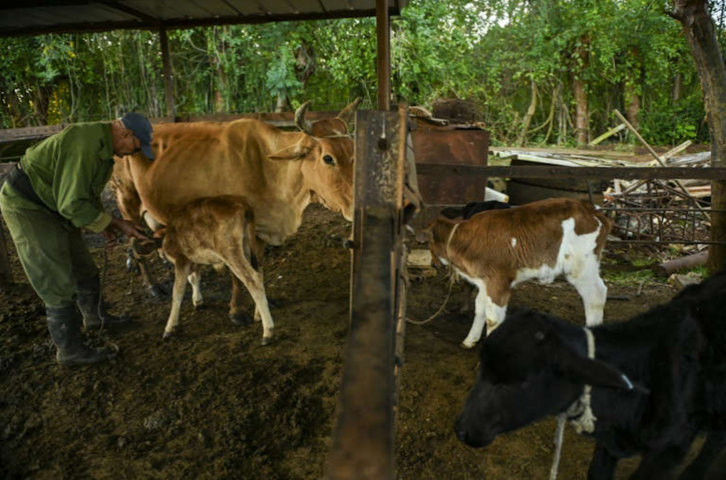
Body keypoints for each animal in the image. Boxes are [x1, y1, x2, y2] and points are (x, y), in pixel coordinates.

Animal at [158, 195, 274, 344]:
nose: (161, 255)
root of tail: (243, 206)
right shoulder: (192, 260)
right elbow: (193, 277)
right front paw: (197, 300)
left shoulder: (181, 259)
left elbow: (177, 291)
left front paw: (170, 328)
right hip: (246, 246)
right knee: (259, 272)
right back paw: (258, 315)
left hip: (229, 250)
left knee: (252, 279)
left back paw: (267, 332)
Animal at [416, 197, 616, 346]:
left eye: (429, 244)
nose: (434, 264)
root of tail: (591, 209)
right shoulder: (484, 282)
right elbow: (480, 308)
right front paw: (469, 340)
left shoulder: (499, 281)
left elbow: (493, 319)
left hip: (581, 266)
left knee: (596, 295)